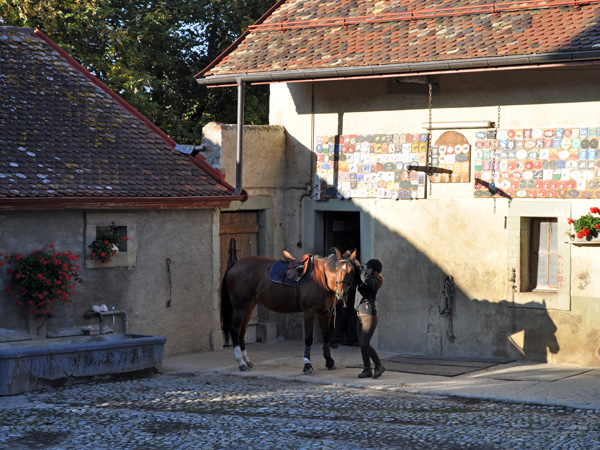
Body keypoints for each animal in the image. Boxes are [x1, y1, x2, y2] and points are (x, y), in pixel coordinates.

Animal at [220, 249, 357, 374]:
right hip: (240, 307)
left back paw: (247, 361)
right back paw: (241, 362)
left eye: (351, 271)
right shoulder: (310, 311)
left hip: (249, 305)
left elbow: (326, 337)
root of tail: (235, 265)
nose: (341, 293)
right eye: (337, 269)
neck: (322, 278)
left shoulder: (325, 313)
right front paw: (307, 365)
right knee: (235, 330)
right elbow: (308, 338)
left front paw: (329, 361)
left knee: (243, 331)